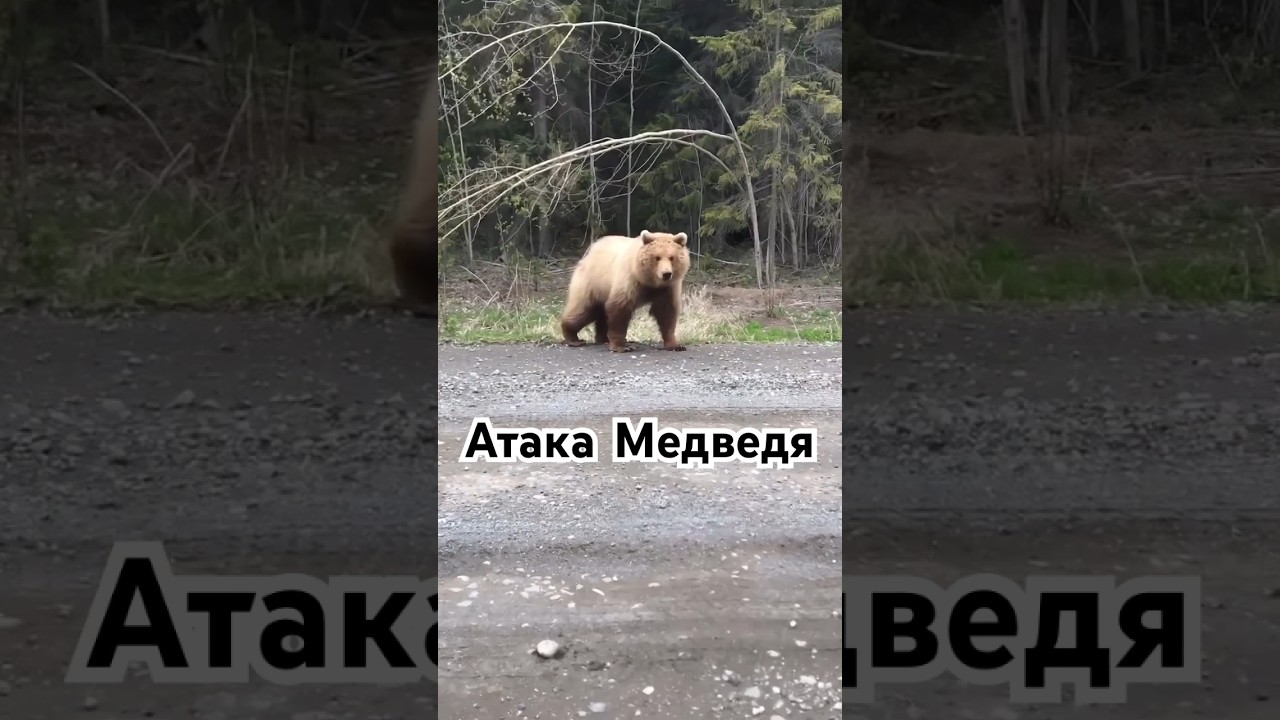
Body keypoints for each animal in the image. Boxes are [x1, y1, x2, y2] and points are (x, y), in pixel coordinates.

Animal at [560, 230, 691, 353]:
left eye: (672, 257)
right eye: (657, 257)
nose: (666, 274)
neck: (650, 281)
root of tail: (590, 252)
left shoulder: (667, 288)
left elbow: (666, 312)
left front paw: (675, 345)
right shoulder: (630, 280)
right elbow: (620, 308)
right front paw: (622, 347)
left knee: (601, 314)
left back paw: (603, 339)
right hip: (592, 283)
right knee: (583, 310)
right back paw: (573, 338)